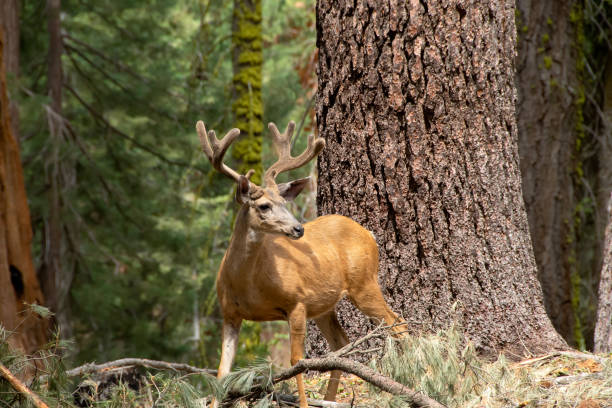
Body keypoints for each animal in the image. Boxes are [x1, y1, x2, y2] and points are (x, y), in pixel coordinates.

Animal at [196, 119, 404, 408]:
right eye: (264, 206)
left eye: (284, 202)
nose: (298, 228)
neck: (247, 284)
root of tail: (368, 233)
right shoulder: (229, 314)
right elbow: (222, 372)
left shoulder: (296, 302)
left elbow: (297, 361)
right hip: (324, 305)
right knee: (340, 344)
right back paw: (330, 400)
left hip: (364, 283)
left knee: (399, 324)